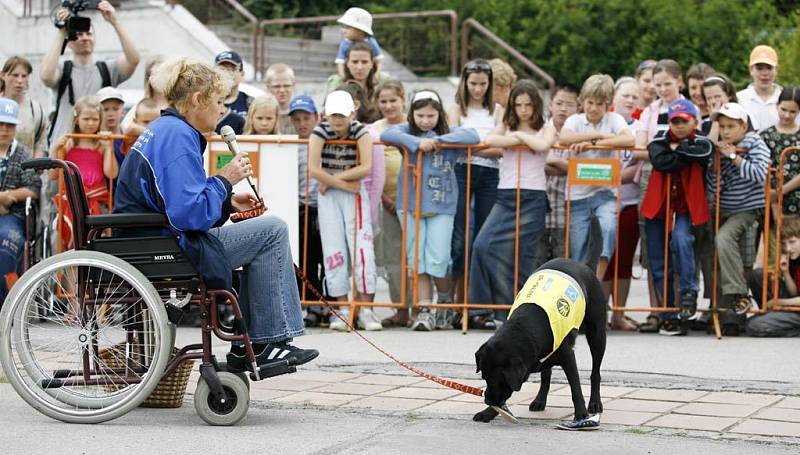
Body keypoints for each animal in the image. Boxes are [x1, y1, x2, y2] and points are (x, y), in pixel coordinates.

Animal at [476, 258, 608, 430]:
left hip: (597, 334)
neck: (523, 328)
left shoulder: (568, 356)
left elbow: (576, 388)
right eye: (484, 377)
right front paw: (488, 413)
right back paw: (540, 400)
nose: (487, 400)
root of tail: (577, 262)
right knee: (546, 375)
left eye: (497, 379)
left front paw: (581, 415)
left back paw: (595, 403)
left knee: (595, 372)